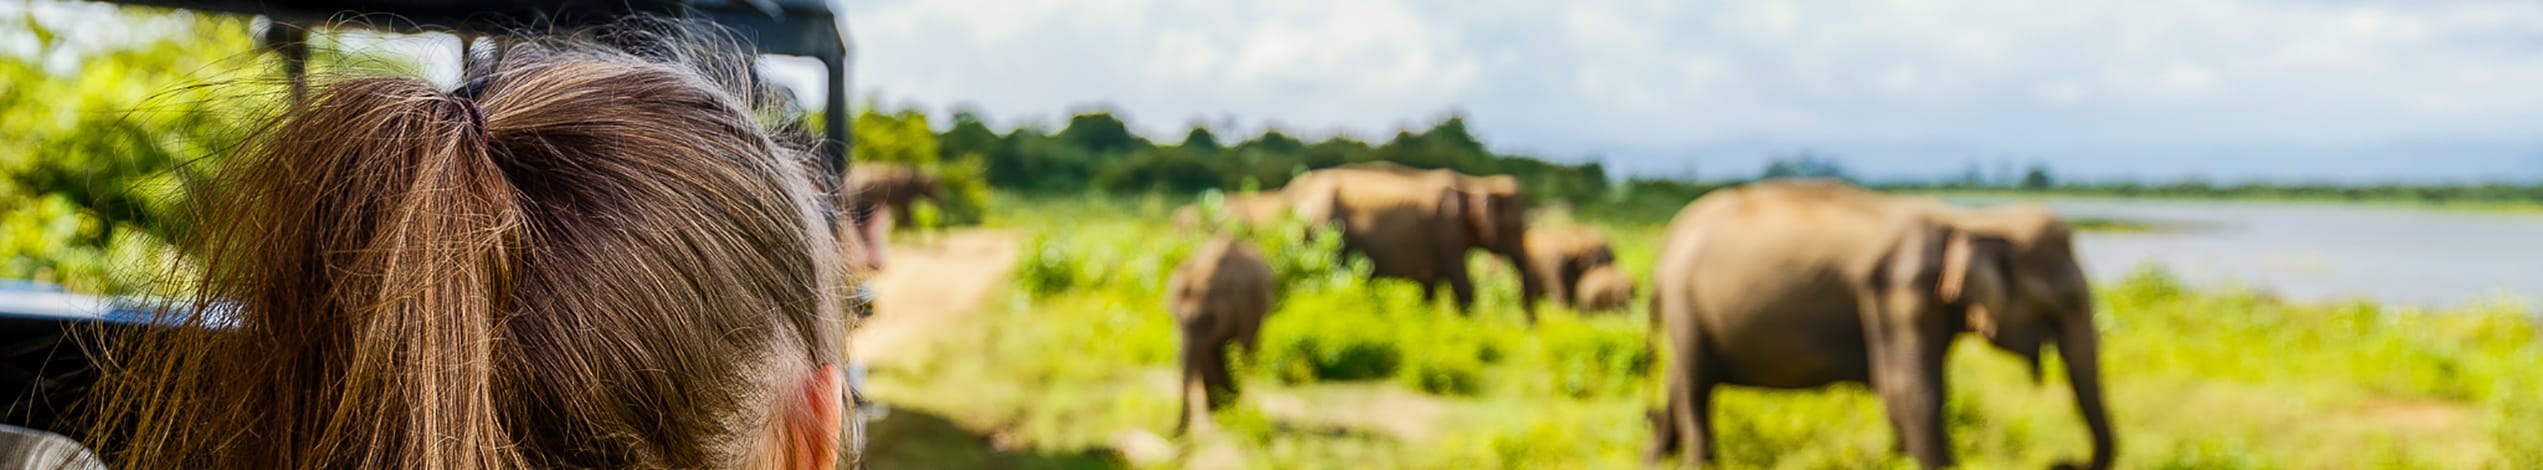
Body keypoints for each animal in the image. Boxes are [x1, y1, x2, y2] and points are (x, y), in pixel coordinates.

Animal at [1174, 238, 1281, 434]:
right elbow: (1208, 353)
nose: (1174, 434)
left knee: (1248, 349)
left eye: (1209, 320)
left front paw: (1232, 412)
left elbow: (1241, 347)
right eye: (1177, 319)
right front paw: (1221, 411)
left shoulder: (1247, 306)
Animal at [1637, 180, 2115, 469]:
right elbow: (1909, 389)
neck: (1970, 220)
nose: (2063, 460)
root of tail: (1669, 242)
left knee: (1680, 382)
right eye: (2067, 300)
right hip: (1686, 303)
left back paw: (1653, 458)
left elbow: (1906, 391)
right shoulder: (1898, 293)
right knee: (1695, 386)